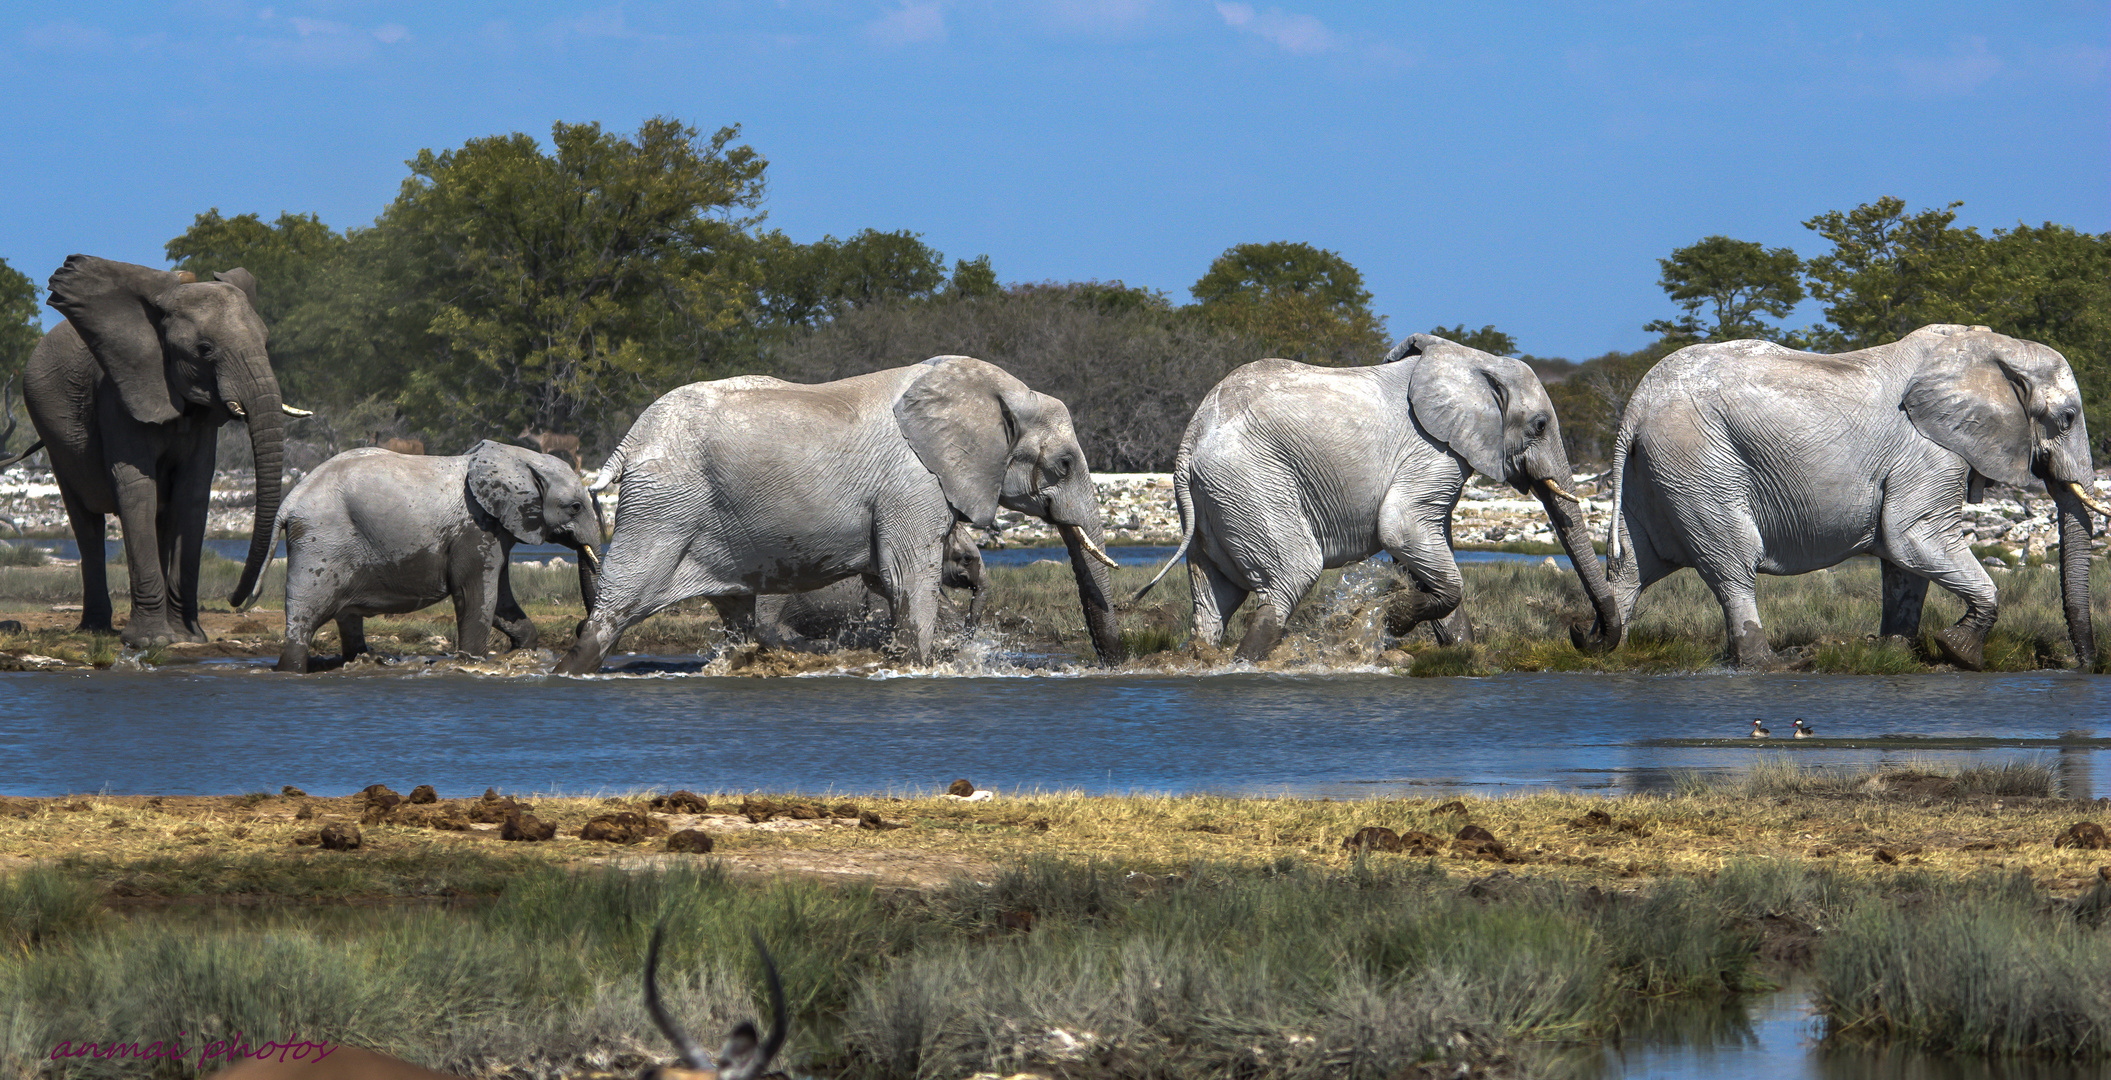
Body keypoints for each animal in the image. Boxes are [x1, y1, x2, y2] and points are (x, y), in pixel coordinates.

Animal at [8, 254, 291, 645]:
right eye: (204, 350)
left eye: (265, 342)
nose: (238, 600)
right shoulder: (117, 397)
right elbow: (137, 489)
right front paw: (151, 641)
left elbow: (192, 492)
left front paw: (189, 638)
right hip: (52, 436)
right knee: (86, 523)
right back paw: (96, 629)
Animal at [270, 442, 603, 670]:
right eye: (575, 507)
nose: (580, 626)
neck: (518, 457)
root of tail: (290, 501)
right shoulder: (475, 528)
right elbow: (476, 596)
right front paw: (471, 662)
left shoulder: (495, 530)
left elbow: (500, 599)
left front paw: (522, 652)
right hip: (320, 545)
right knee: (306, 616)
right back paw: (292, 668)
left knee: (346, 618)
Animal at [553, 358, 1131, 670]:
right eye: (1064, 464)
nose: (1115, 662)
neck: (999, 391)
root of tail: (631, 439)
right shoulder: (913, 481)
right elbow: (907, 577)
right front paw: (921, 663)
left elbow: (887, 578)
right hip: (665, 506)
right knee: (615, 608)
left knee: (735, 609)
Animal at [1139, 333, 1612, 662]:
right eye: (1539, 426)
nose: (1580, 633)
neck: (1475, 360)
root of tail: (1192, 434)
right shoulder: (1433, 451)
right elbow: (1401, 531)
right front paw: (1388, 620)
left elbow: (1425, 549)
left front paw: (1460, 652)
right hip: (1251, 482)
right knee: (1292, 576)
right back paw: (1246, 663)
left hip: (1217, 499)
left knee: (1213, 597)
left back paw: (1205, 655)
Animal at [1604, 324, 2102, 670]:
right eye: (2067, 418)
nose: (2083, 665)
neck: (1991, 347)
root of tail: (1637, 402)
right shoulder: (1929, 450)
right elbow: (1914, 537)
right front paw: (1960, 654)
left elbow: (1905, 564)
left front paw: (1895, 653)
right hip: (1698, 462)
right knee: (1732, 564)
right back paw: (1778, 664)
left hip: (1656, 472)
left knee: (1634, 564)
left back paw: (1606, 647)